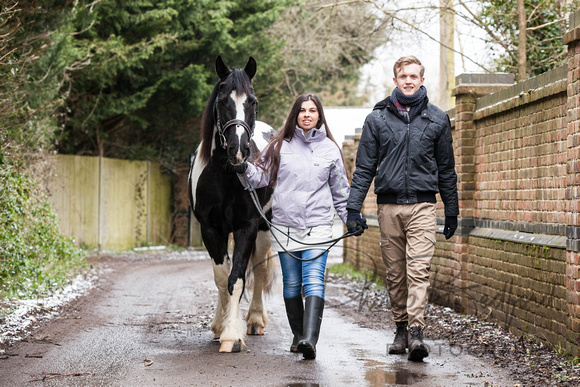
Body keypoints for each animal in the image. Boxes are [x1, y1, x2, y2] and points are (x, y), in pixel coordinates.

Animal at [187, 56, 276, 354]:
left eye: (253, 101)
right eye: (222, 100)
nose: (239, 151)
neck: (226, 174)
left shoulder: (246, 227)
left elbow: (236, 278)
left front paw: (232, 335)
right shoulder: (210, 229)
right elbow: (221, 276)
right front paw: (222, 326)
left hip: (264, 228)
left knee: (259, 268)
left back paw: (255, 320)